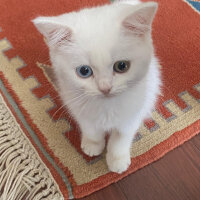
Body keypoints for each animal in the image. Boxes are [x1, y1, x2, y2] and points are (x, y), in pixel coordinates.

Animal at [32, 0, 161, 173]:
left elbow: (121, 137)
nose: (105, 88)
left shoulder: (133, 112)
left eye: (122, 66)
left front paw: (117, 159)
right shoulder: (76, 105)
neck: (106, 107)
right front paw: (93, 145)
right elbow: (90, 128)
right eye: (84, 71)